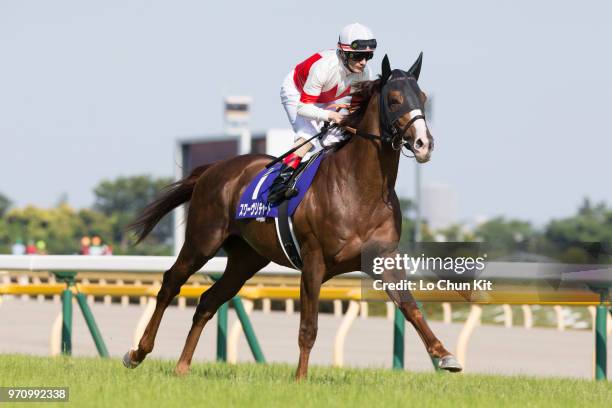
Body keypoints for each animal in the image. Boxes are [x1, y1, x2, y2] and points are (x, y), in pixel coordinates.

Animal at [122, 52, 462, 378]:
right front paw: (300, 378)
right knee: (171, 283)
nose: (424, 143)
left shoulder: (384, 259)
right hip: (202, 240)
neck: (358, 188)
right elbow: (308, 328)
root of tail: (213, 169)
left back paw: (182, 366)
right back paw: (137, 352)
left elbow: (411, 308)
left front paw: (446, 355)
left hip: (246, 259)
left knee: (208, 301)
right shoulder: (313, 260)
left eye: (423, 98)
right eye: (394, 99)